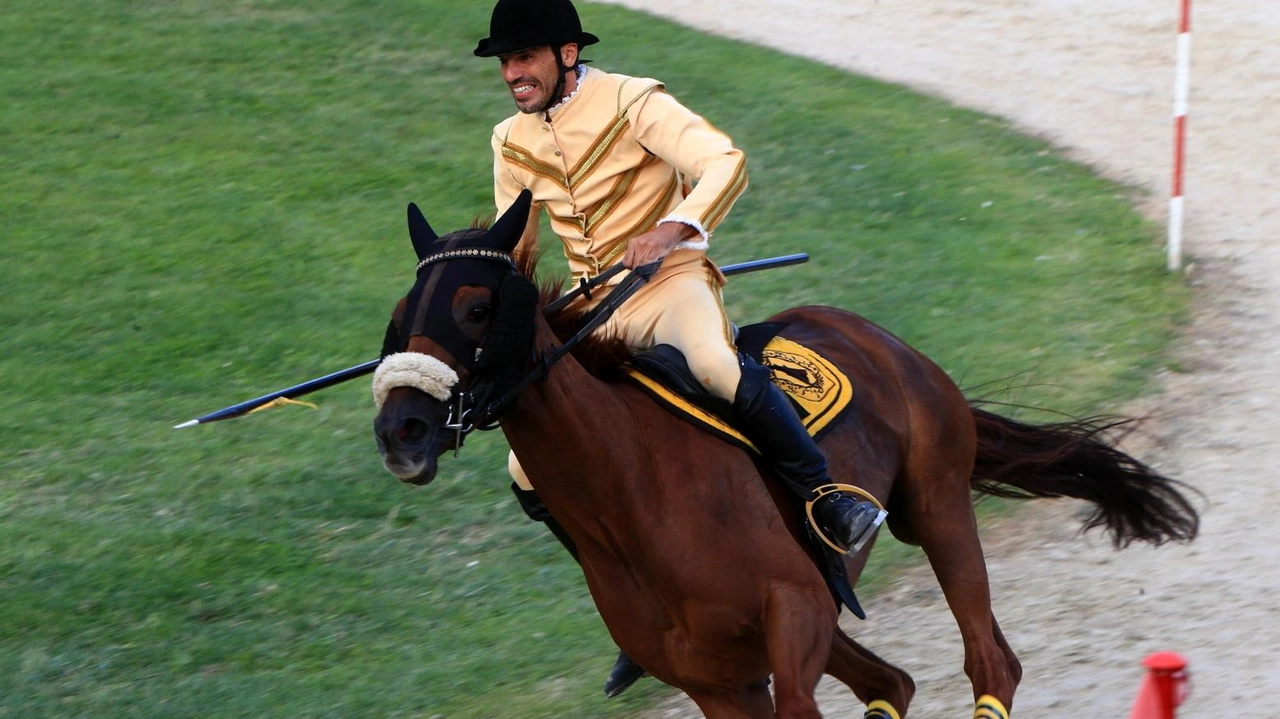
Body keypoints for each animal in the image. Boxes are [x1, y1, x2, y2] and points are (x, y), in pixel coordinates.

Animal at [371, 190, 1198, 716]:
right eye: (400, 315)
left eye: (477, 307)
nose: (399, 429)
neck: (636, 496)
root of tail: (887, 341)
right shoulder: (719, 682)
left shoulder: (794, 615)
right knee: (893, 683)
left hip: (937, 509)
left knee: (992, 662)